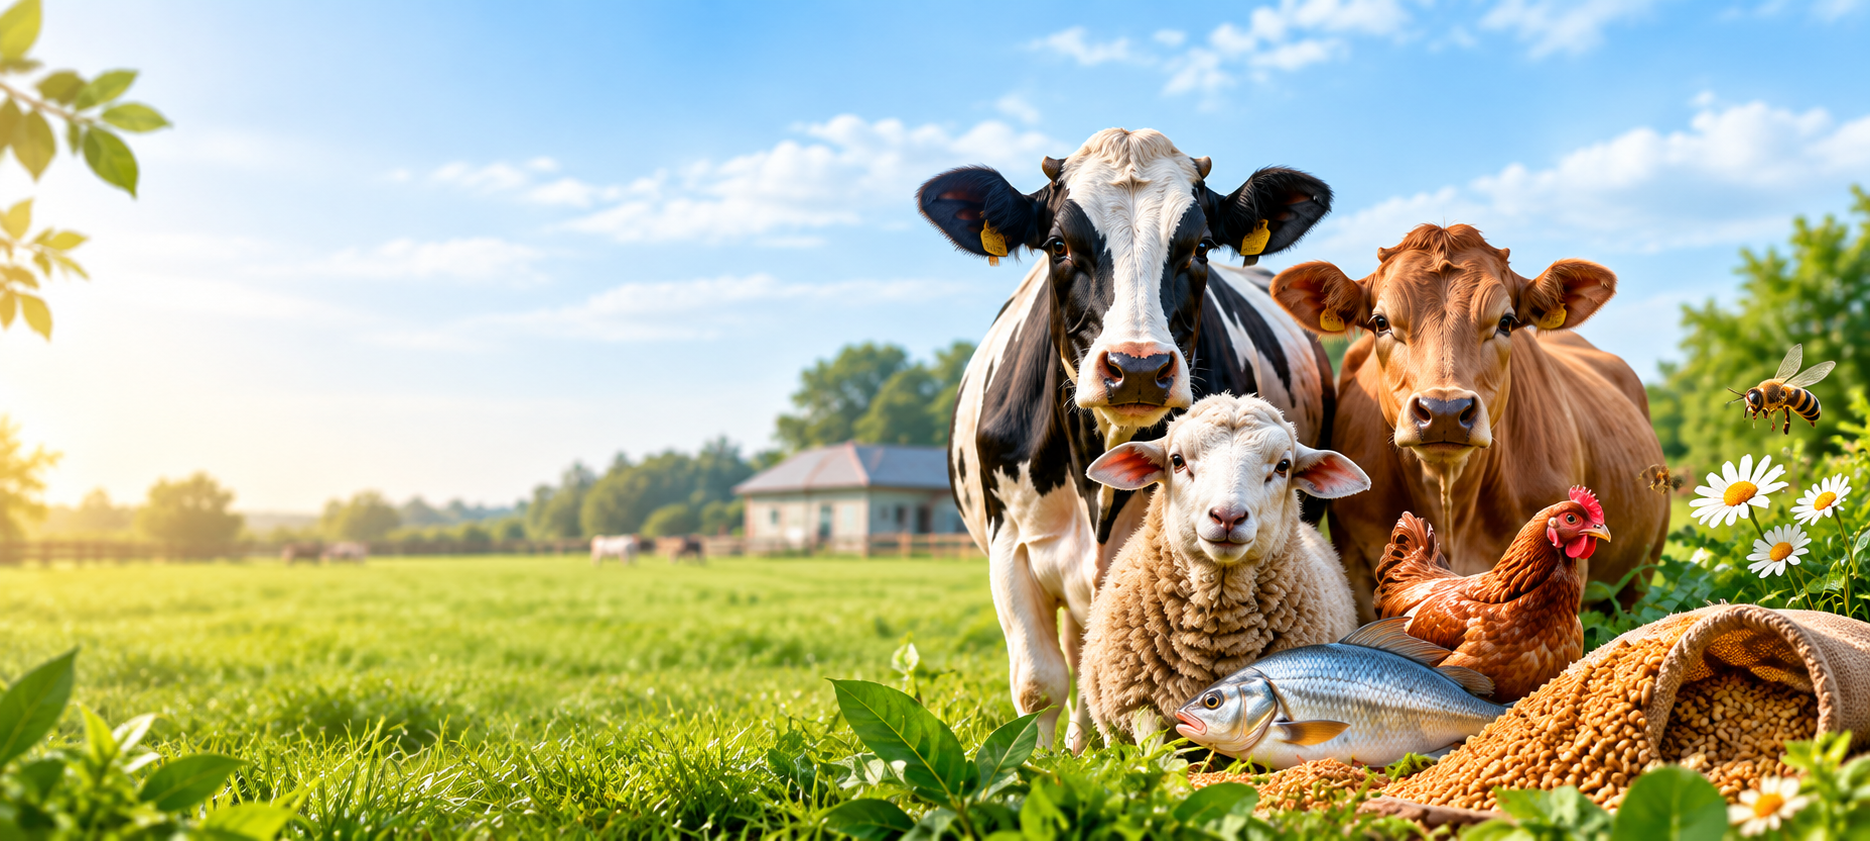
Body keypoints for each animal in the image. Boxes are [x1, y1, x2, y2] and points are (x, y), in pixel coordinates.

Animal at [918, 128, 1336, 750]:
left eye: (1202, 247)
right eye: (1058, 245)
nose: (1137, 367)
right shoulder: (1010, 545)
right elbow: (1039, 682)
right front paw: (1040, 758)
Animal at [1269, 223, 1669, 621]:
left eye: (1506, 322)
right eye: (1380, 323)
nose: (1445, 410)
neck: (1448, 507)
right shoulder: (1359, 569)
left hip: (1639, 577)